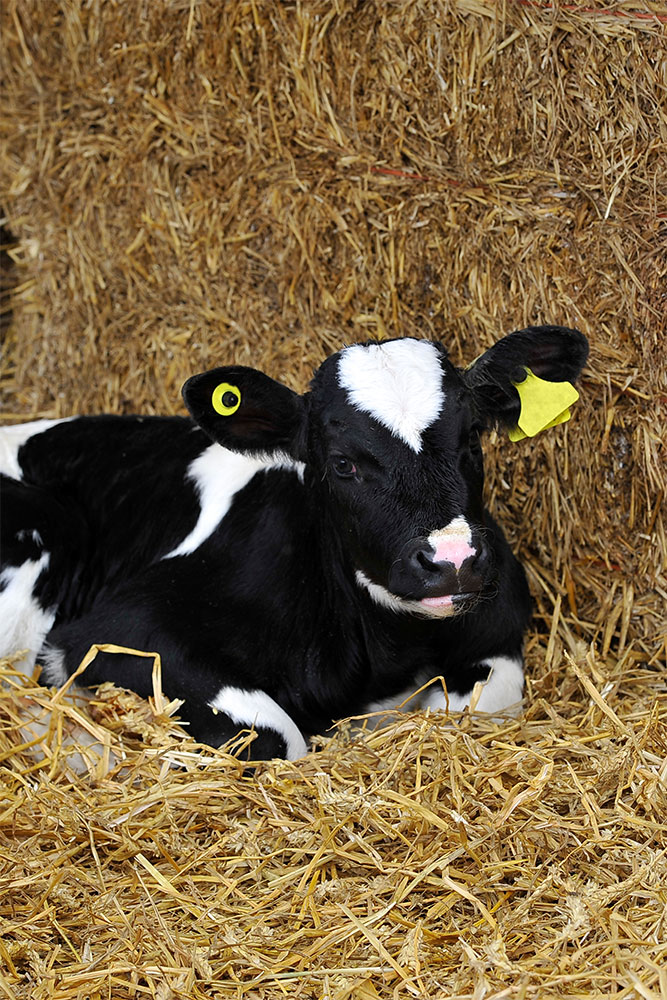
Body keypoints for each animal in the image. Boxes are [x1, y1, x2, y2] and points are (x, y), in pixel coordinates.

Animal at [0, 326, 588, 760]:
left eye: (472, 440)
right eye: (343, 463)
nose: (452, 560)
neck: (384, 657)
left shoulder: (497, 630)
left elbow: (480, 706)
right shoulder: (114, 631)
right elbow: (279, 736)